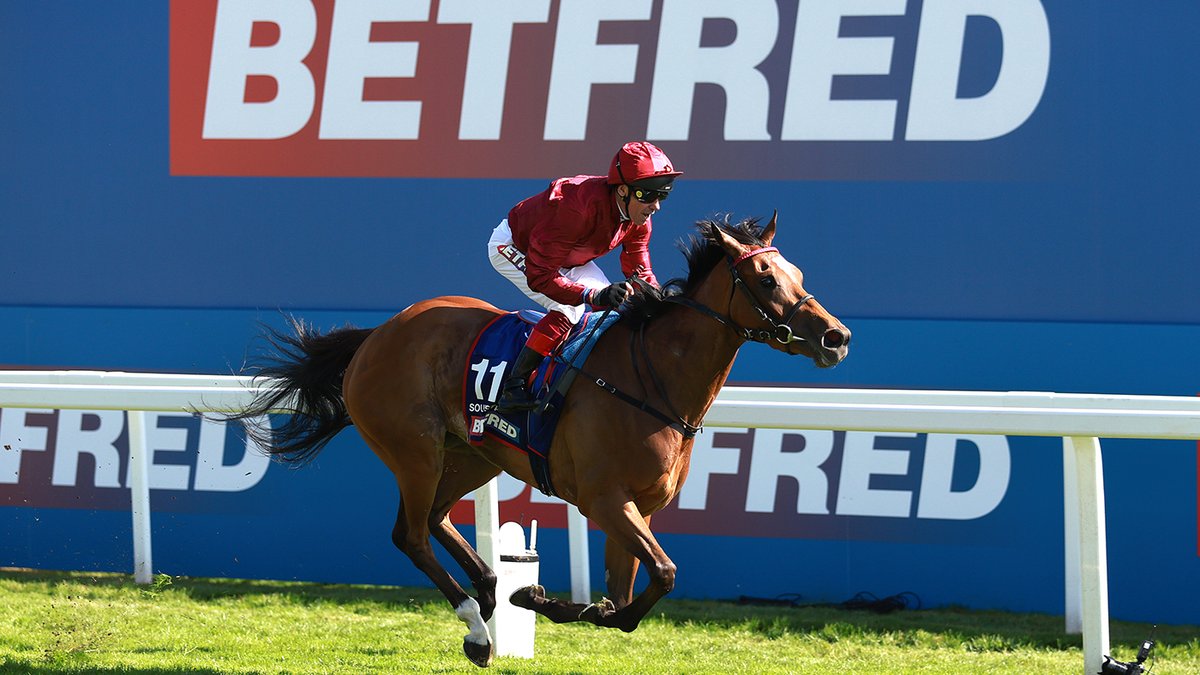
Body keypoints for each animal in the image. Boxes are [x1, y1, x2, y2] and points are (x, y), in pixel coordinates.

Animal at [225, 212, 844, 662]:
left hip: (474, 455)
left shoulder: (638, 507)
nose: (836, 337)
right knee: (411, 535)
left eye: (800, 276)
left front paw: (545, 598)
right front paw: (539, 598)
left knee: (436, 520)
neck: (653, 380)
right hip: (414, 451)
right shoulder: (604, 499)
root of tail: (378, 334)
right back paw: (477, 628)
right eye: (766, 279)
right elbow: (662, 576)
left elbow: (625, 603)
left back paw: (490, 587)